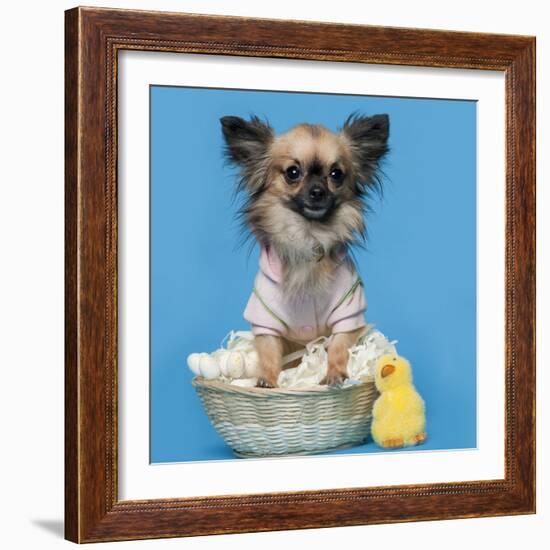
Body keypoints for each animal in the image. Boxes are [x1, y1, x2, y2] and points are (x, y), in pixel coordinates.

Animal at [222, 113, 390, 388]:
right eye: (293, 172)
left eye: (336, 174)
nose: (317, 191)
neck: (309, 235)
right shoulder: (265, 318)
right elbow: (268, 352)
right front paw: (267, 380)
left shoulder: (348, 313)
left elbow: (338, 347)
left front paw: (334, 374)